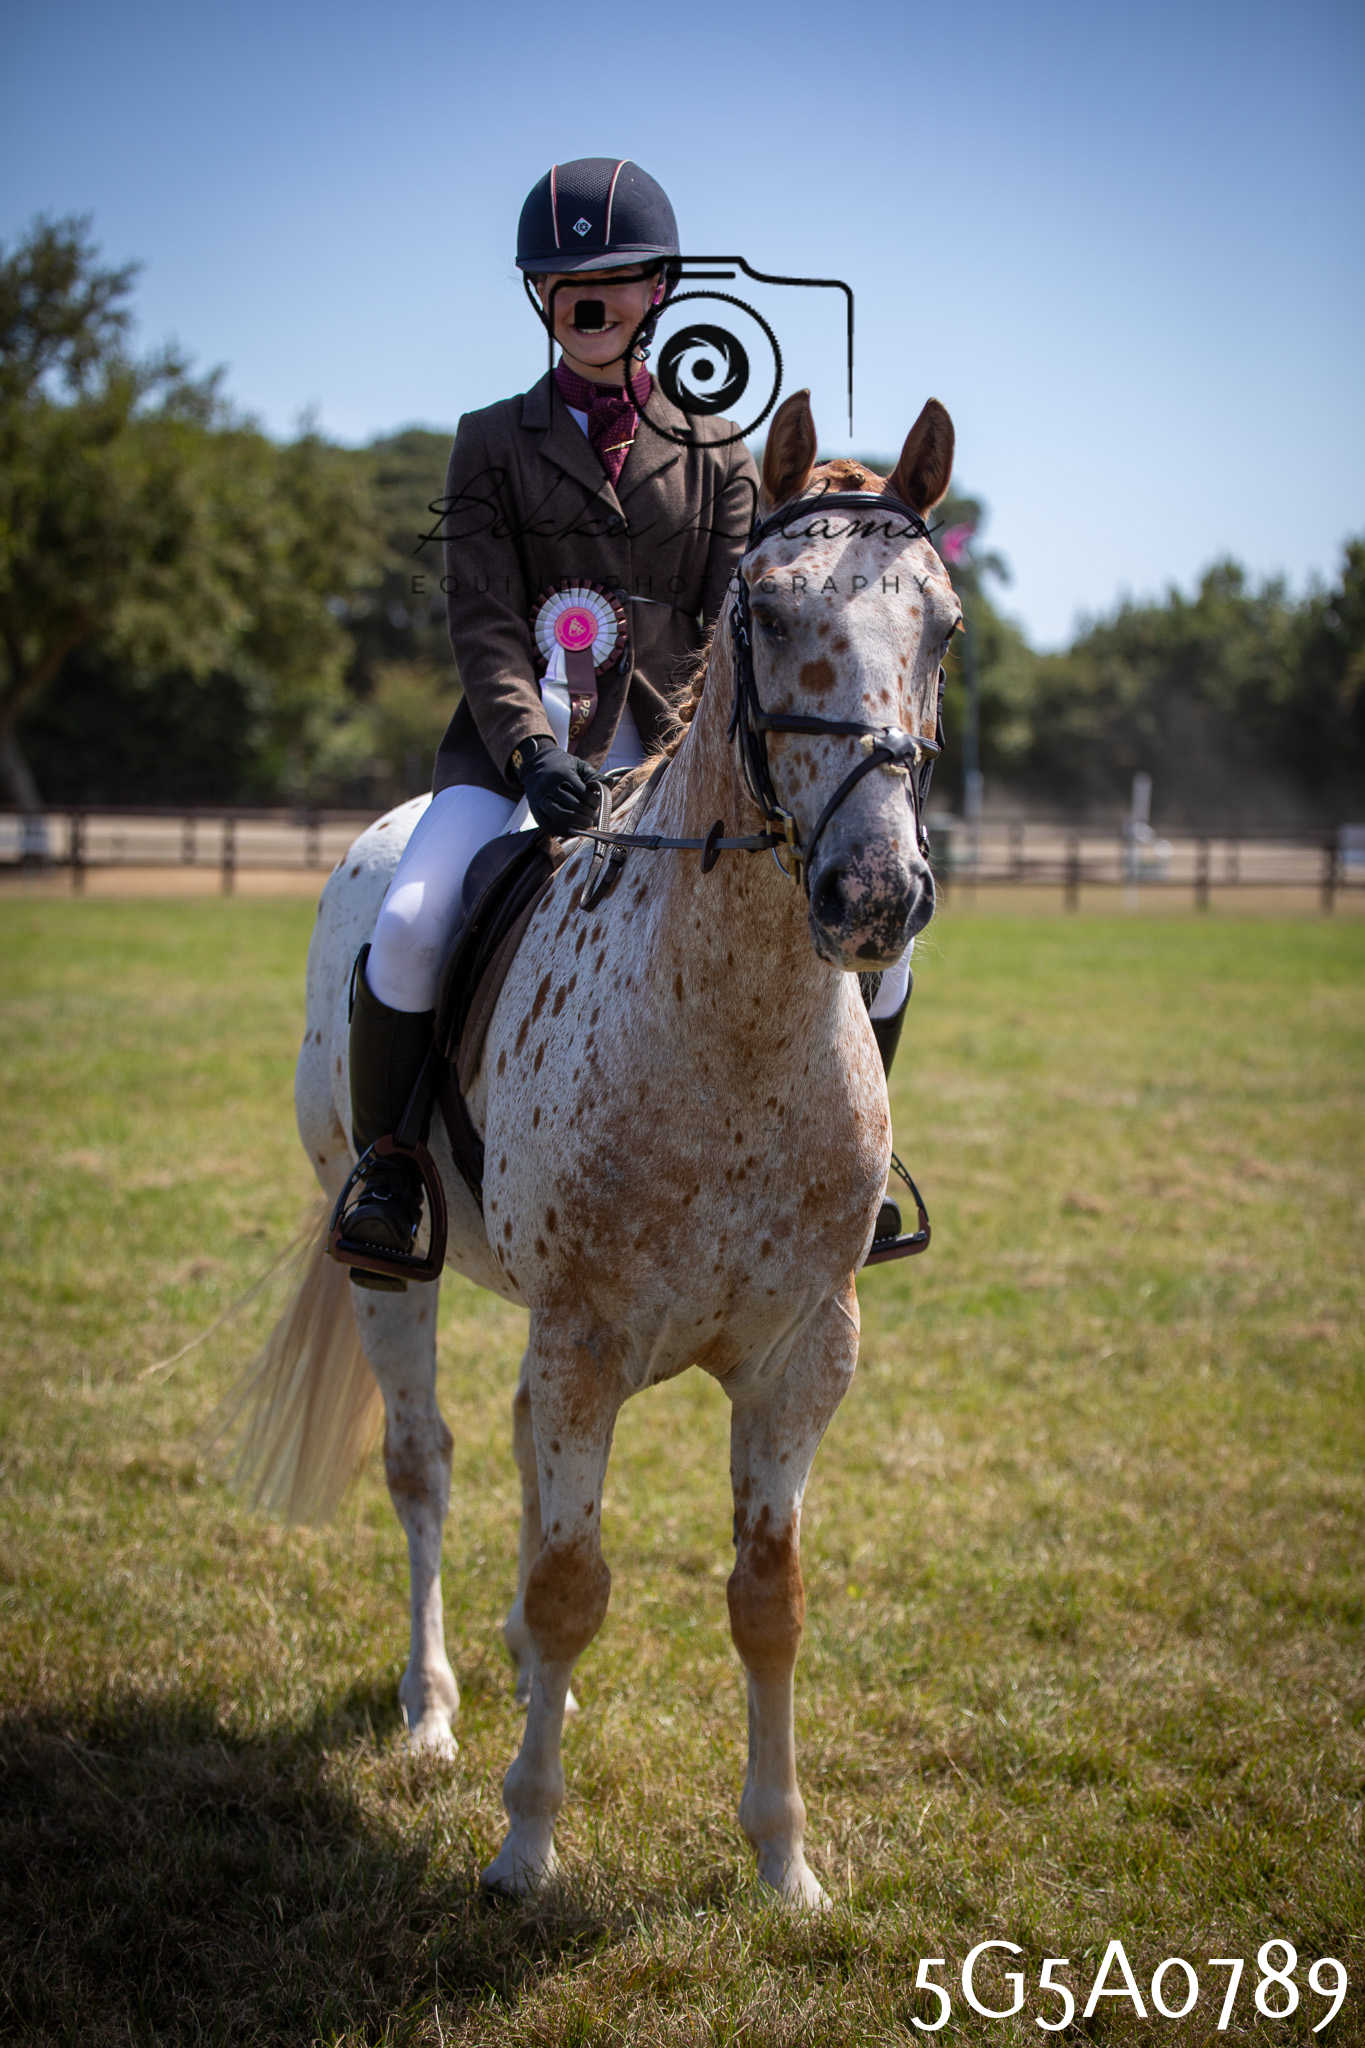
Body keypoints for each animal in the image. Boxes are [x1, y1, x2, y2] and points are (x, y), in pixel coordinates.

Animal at [231, 388, 960, 1907]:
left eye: (944, 627)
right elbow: (577, 1586)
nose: (874, 894)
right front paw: (524, 1848)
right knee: (427, 1463)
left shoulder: (804, 1355)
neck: (734, 1030)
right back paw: (436, 1709)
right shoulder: (583, 1337)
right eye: (765, 612)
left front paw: (785, 1863)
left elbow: (766, 1600)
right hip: (388, 1266)